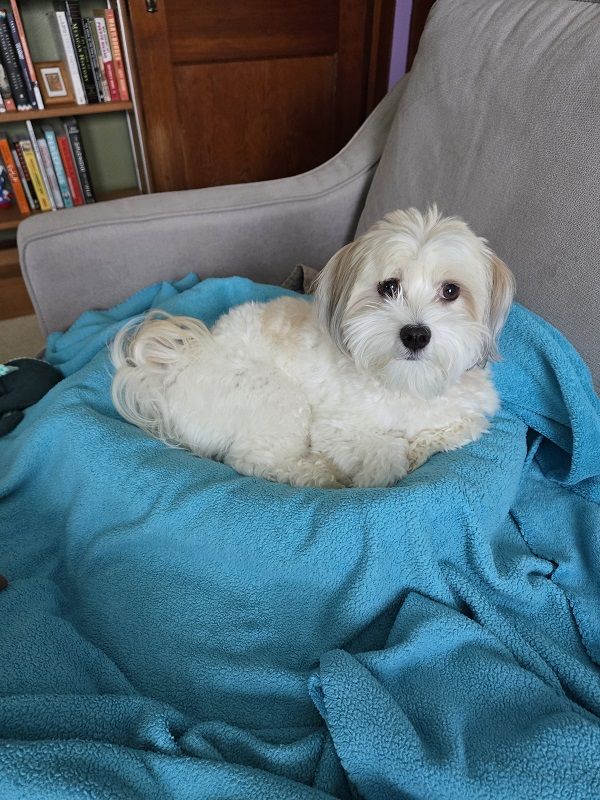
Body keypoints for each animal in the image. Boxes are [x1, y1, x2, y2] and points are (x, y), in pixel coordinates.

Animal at [110, 206, 512, 488]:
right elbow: (384, 456)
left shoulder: (470, 410)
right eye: (388, 287)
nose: (415, 334)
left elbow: (461, 427)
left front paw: (420, 447)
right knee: (254, 459)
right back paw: (318, 474)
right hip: (277, 397)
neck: (406, 382)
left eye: (451, 291)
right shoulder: (336, 428)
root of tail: (182, 362)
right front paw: (375, 471)